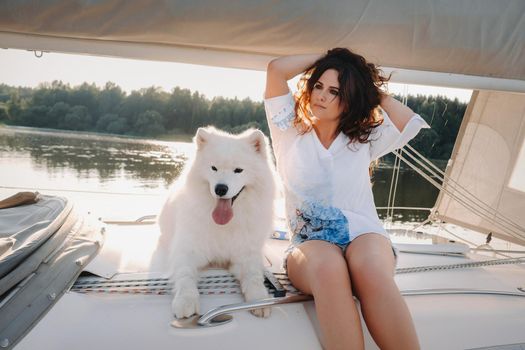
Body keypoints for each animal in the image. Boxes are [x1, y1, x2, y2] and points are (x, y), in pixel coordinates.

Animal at [157, 126, 276, 320]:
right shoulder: (187, 251)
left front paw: (259, 299)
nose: (220, 188)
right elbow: (185, 276)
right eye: (214, 168)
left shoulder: (246, 255)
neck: (225, 225)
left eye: (238, 170)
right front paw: (186, 301)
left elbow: (253, 275)